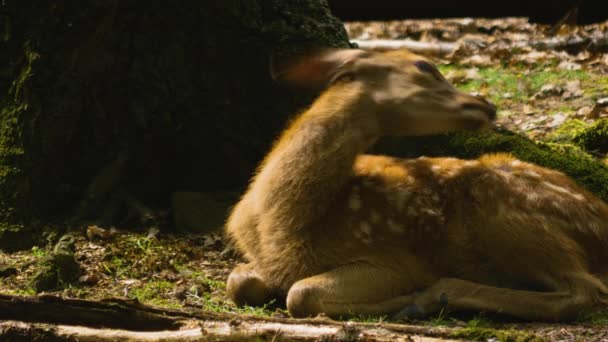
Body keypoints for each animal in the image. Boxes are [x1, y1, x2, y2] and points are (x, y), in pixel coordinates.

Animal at [224, 48, 608, 320]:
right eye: (424, 66)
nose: (485, 102)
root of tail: (600, 215)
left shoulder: (390, 259)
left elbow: (301, 294)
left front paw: (405, 297)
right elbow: (238, 281)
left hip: (507, 215)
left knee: (585, 291)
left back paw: (428, 298)